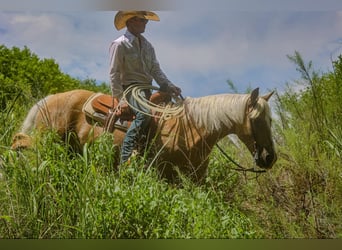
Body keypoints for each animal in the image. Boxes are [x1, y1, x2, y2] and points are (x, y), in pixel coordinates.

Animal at [11, 87, 278, 182]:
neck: (192, 128)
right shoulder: (164, 174)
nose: (270, 158)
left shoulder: (195, 178)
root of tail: (50, 98)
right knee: (21, 142)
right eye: (256, 120)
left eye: (271, 120)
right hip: (46, 142)